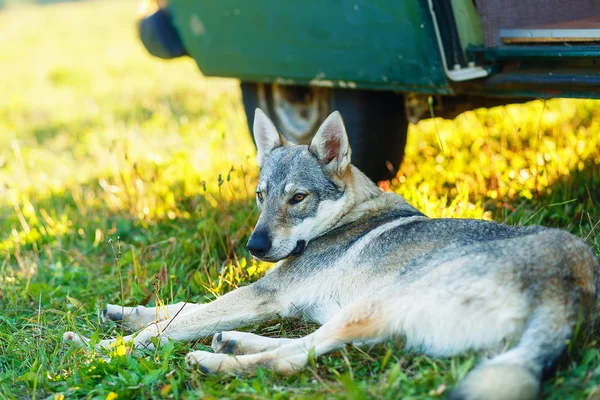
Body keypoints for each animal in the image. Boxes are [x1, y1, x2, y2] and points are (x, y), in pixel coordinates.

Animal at [63, 109, 596, 400]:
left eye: (297, 198)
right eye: (260, 196)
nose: (255, 246)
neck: (347, 214)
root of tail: (573, 286)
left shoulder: (266, 295)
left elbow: (170, 325)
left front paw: (102, 349)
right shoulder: (268, 294)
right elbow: (180, 308)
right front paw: (121, 314)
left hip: (377, 304)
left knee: (293, 360)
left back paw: (214, 362)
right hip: (375, 321)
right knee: (301, 349)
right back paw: (229, 344)